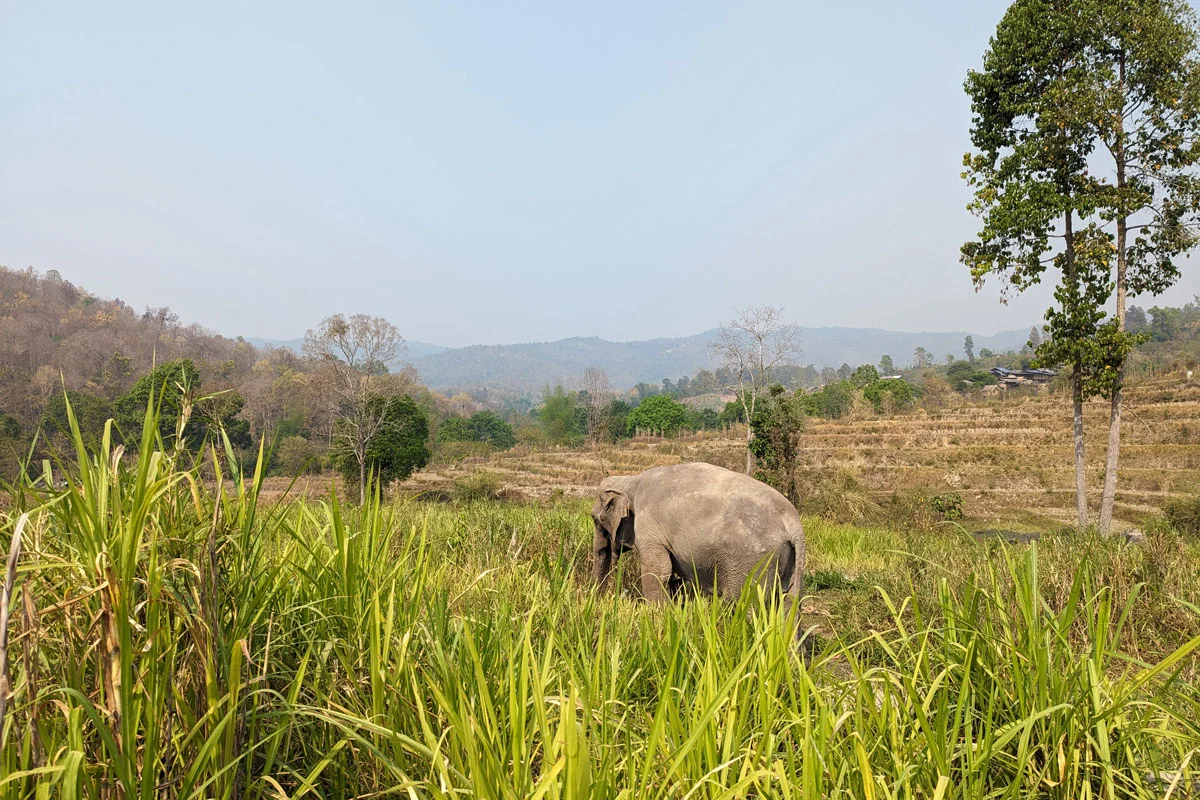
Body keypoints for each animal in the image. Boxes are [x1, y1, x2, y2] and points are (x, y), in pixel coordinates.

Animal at [590, 460, 806, 628]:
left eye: (595, 519)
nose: (598, 603)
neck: (631, 481)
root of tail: (793, 523)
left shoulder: (649, 528)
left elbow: (658, 572)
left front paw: (655, 618)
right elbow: (673, 577)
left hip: (752, 562)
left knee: (743, 604)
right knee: (789, 604)